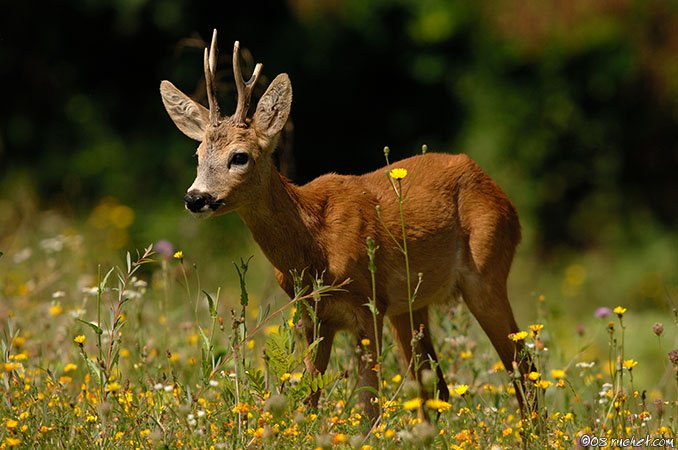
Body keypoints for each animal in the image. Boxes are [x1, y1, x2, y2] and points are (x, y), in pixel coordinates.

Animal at [161, 29, 536, 420]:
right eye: (198, 155)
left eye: (240, 156)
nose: (195, 197)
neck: (315, 243)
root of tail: (503, 197)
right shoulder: (312, 314)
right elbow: (308, 396)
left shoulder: (368, 303)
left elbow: (368, 404)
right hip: (410, 305)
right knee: (436, 385)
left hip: (486, 270)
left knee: (523, 367)